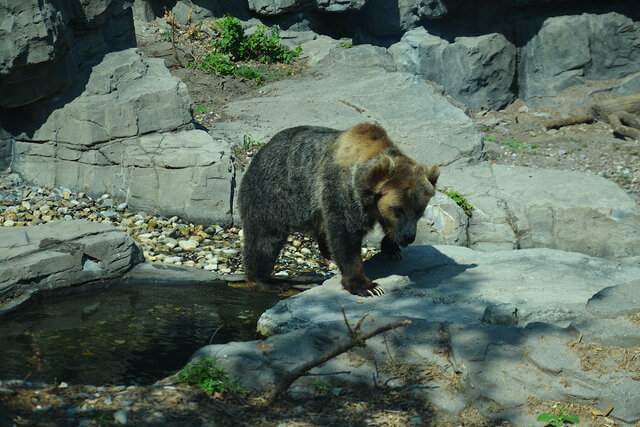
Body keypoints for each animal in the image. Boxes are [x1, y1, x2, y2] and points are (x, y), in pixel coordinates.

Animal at [238, 123, 438, 298]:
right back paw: (266, 282)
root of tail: (260, 152)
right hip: (272, 193)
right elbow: (345, 237)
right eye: (398, 209)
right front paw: (368, 286)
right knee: (265, 239)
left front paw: (392, 248)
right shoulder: (342, 192)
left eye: (419, 210)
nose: (409, 236)